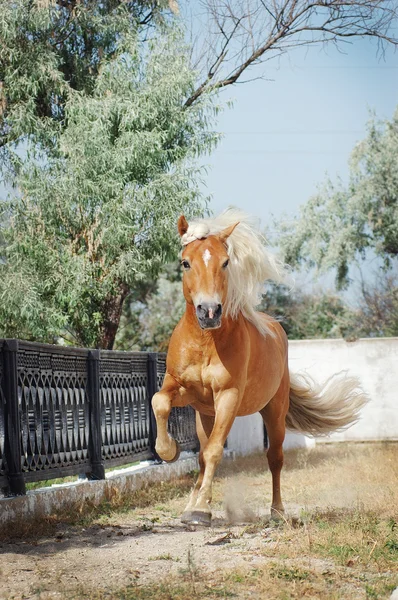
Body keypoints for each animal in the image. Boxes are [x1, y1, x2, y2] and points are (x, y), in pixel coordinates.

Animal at [152, 210, 366, 524]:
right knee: (202, 454)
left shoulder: (228, 396)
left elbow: (215, 451)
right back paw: (191, 502)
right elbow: (160, 403)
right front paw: (169, 452)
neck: (206, 342)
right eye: (185, 262)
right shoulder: (182, 388)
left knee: (274, 458)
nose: (209, 311)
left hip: (274, 413)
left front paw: (202, 509)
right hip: (205, 414)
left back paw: (277, 511)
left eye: (225, 262)